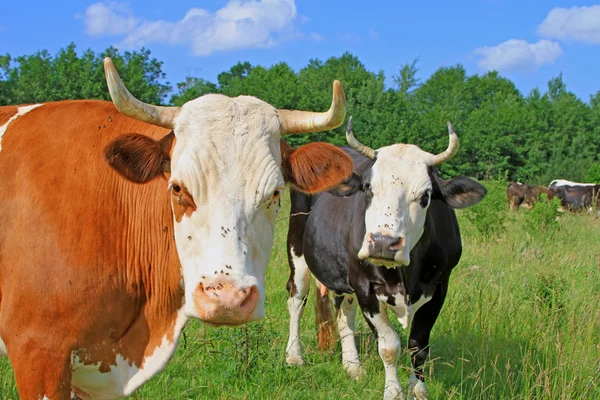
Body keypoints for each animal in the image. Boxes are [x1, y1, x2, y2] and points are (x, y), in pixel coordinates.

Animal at [284, 119, 486, 400]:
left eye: (425, 196)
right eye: (368, 189)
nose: (382, 243)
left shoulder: (439, 287)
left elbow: (418, 346)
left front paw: (418, 390)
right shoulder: (366, 286)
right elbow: (389, 346)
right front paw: (393, 392)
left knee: (344, 312)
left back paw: (352, 365)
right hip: (297, 246)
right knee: (296, 298)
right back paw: (294, 355)